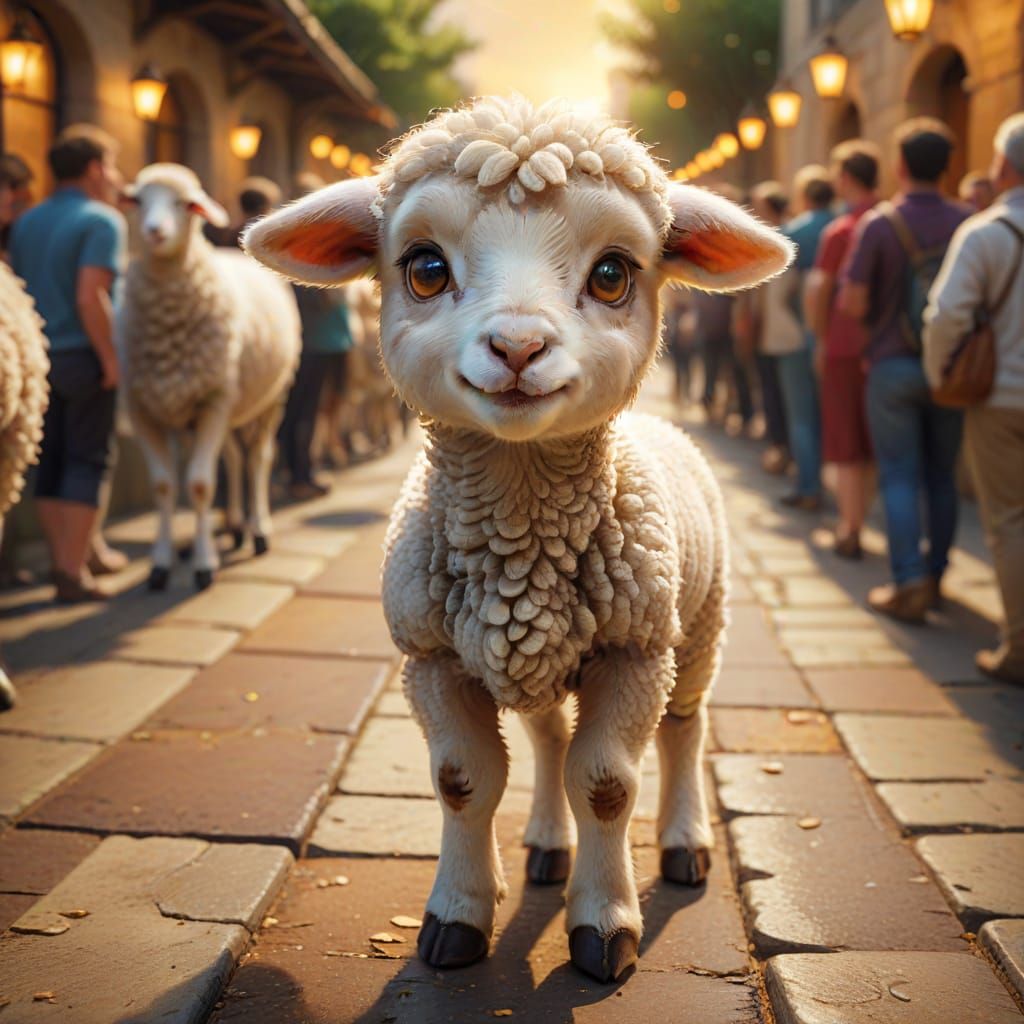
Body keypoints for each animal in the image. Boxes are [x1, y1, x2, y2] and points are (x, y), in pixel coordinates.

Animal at [119, 164, 300, 590]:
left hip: (269, 398)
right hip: (216, 408)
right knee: (232, 459)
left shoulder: (213, 399)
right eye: (138, 200)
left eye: (186, 204)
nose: (154, 231)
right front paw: (161, 564)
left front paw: (203, 566)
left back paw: (259, 529)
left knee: (258, 458)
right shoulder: (145, 408)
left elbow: (200, 486)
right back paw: (233, 525)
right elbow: (164, 487)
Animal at [244, 96, 793, 983]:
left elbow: (606, 783)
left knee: (683, 729)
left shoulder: (634, 654)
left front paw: (605, 929)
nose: (517, 348)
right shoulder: (431, 659)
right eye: (424, 268)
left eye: (613, 275)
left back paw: (684, 844)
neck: (519, 524)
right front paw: (457, 920)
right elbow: (464, 781)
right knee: (547, 736)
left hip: (698, 625)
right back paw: (545, 844)